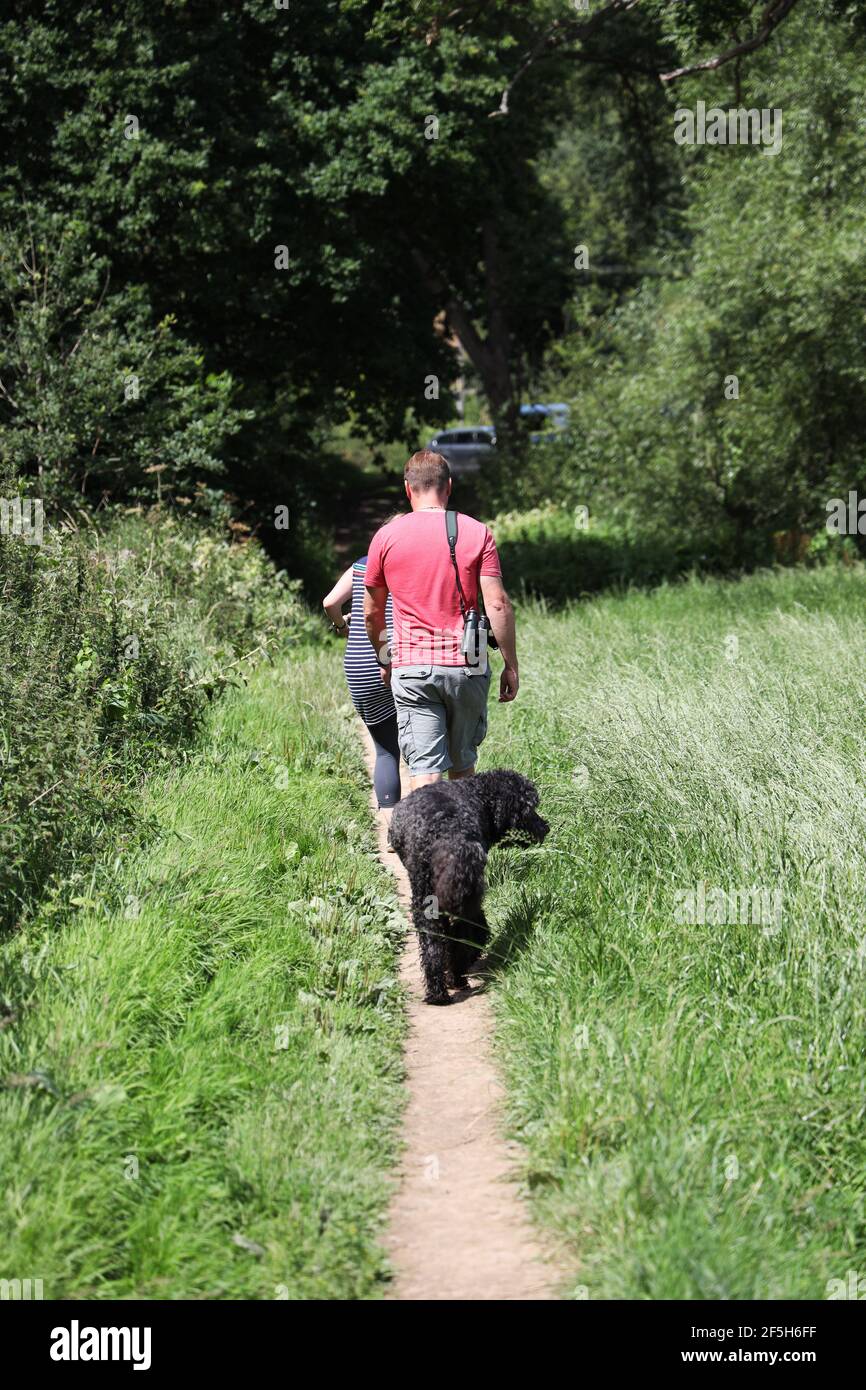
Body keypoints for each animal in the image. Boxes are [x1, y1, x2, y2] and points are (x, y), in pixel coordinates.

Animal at [391, 772, 553, 1000]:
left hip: (427, 898)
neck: (479, 795)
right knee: (461, 941)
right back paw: (457, 979)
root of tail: (446, 834)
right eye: (528, 808)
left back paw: (438, 993)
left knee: (434, 945)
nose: (545, 828)